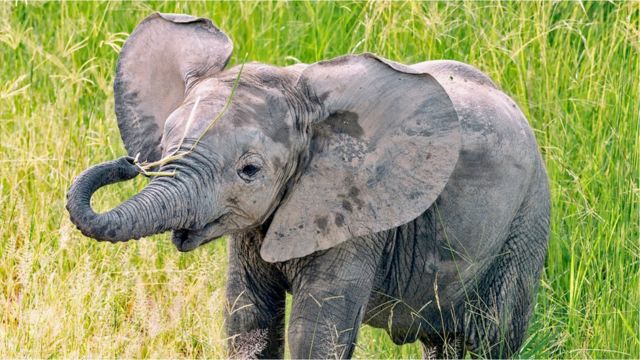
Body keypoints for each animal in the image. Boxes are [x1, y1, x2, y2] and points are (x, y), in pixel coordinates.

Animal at [66, 12, 552, 358]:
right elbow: (248, 323)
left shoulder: (356, 213)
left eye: (249, 170)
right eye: (167, 142)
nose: (129, 164)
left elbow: (315, 334)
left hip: (527, 222)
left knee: (495, 338)